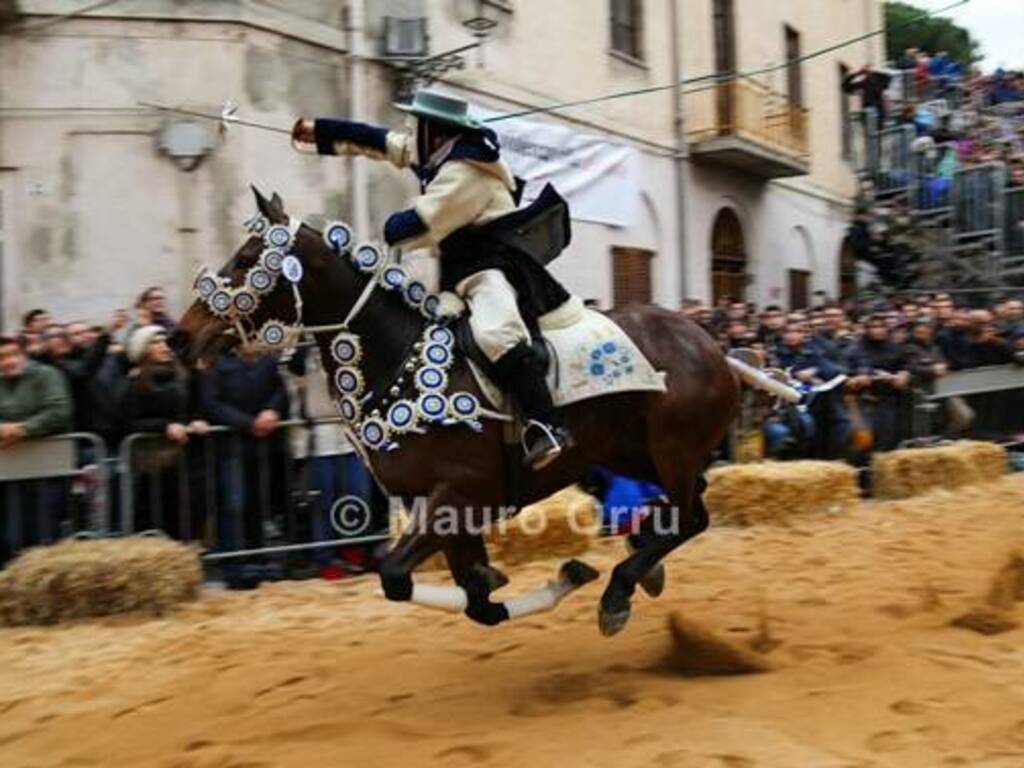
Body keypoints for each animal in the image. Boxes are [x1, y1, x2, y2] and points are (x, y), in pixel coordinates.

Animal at [180, 191, 745, 638]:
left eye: (246, 258)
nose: (183, 336)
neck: (397, 357)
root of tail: (713, 345)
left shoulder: (457, 495)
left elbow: (396, 576)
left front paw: (568, 578)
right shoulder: (444, 512)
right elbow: (475, 602)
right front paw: (550, 578)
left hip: (671, 448)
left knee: (692, 514)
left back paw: (620, 589)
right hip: (630, 451)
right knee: (687, 505)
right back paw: (641, 558)